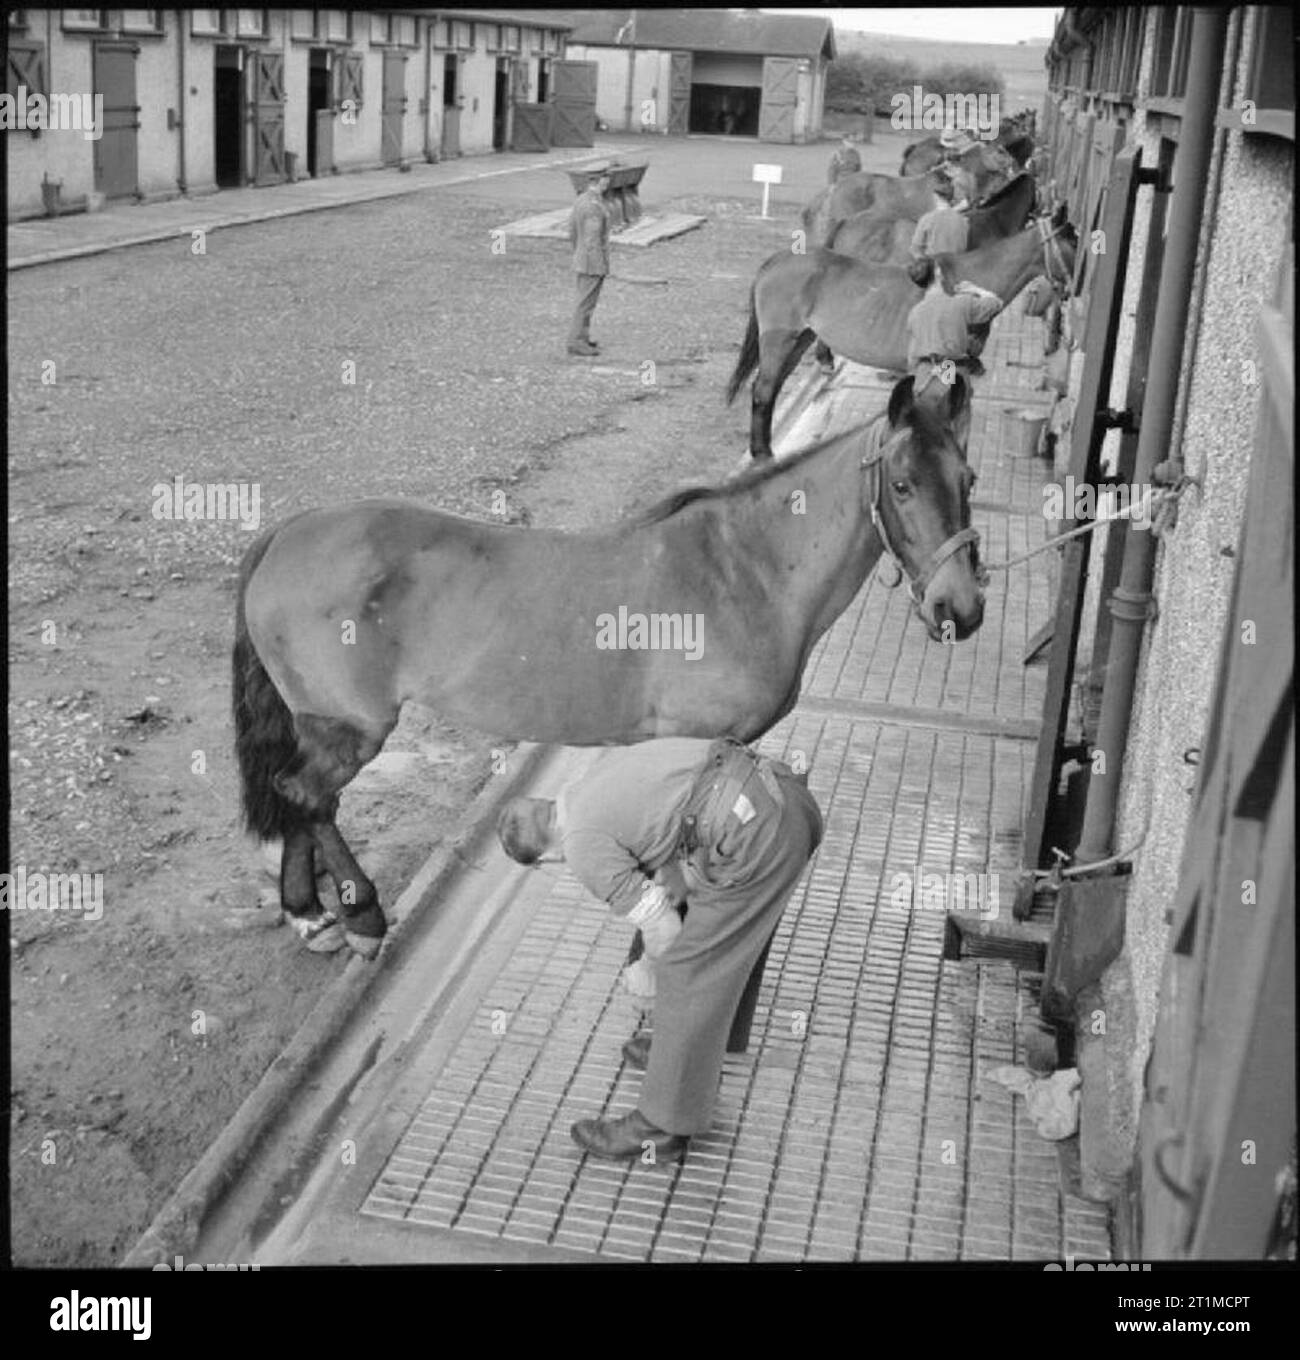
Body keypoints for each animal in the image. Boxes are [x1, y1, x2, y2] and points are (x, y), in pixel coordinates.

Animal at [233, 383, 984, 957]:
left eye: (967, 481)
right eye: (903, 484)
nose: (961, 609)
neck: (743, 571)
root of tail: (290, 532)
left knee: (298, 796)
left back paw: (309, 913)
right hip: (349, 727)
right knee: (308, 797)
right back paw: (360, 915)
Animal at [728, 206, 1076, 459]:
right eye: (1072, 242)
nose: (1074, 289)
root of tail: (776, 261)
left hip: (799, 340)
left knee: (772, 388)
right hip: (779, 339)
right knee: (763, 390)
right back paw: (762, 453)